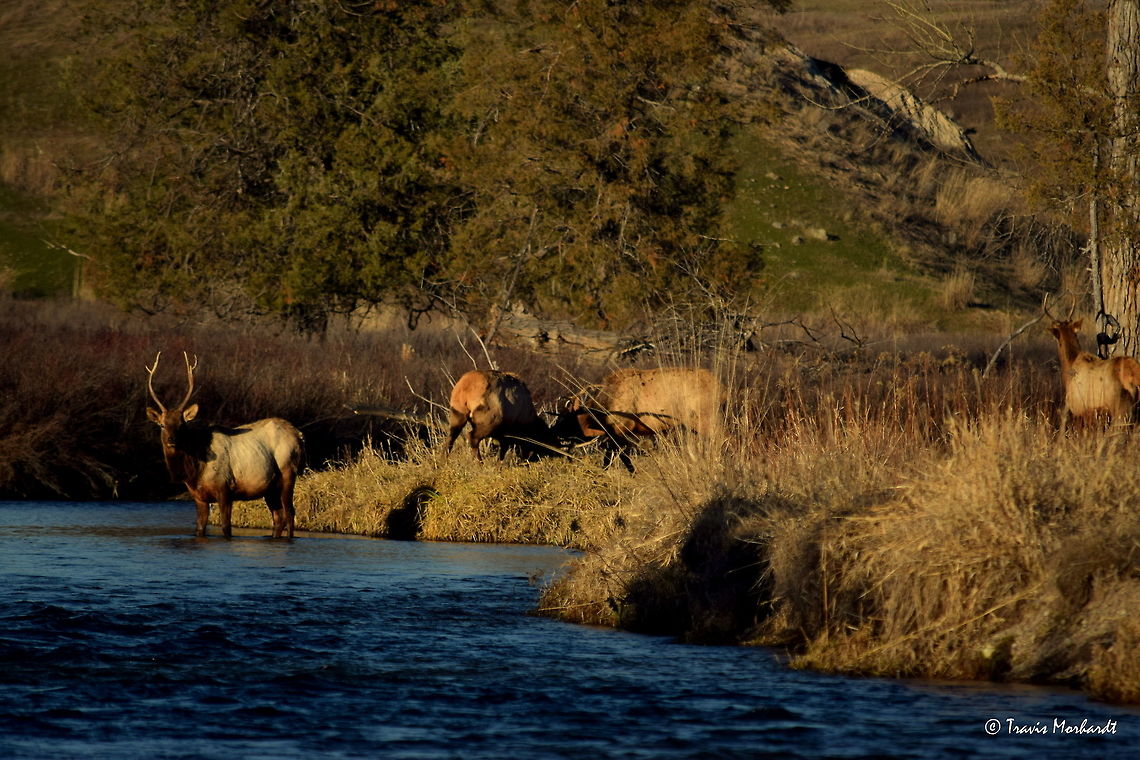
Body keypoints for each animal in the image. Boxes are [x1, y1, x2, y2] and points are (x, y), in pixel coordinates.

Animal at [146, 352, 305, 538]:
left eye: (182, 424)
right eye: (162, 425)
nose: (172, 440)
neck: (195, 470)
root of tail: (299, 435)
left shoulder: (225, 489)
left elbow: (226, 528)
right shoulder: (198, 496)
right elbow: (199, 529)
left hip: (288, 472)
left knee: (290, 513)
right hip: (270, 487)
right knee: (278, 517)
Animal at [552, 367, 721, 471]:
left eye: (566, 419)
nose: (553, 431)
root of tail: (720, 386)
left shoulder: (621, 432)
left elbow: (621, 460)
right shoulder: (615, 435)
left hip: (705, 420)